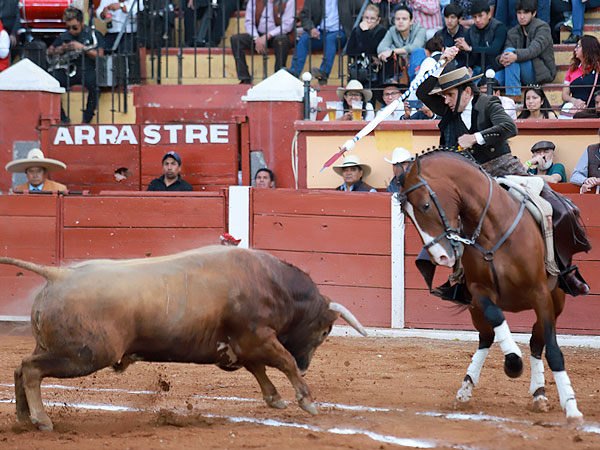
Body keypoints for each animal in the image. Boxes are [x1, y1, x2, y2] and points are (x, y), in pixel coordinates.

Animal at [0, 245, 367, 431]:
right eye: (325, 331)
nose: (307, 367)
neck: (274, 285)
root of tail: (58, 274)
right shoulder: (258, 337)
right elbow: (282, 361)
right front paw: (307, 400)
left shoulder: (244, 344)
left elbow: (259, 369)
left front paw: (275, 399)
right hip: (84, 354)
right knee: (31, 370)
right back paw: (42, 420)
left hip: (60, 349)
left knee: (21, 368)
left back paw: (23, 419)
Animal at [398, 149, 583, 423]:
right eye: (406, 214)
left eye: (426, 205)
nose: (441, 257)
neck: (492, 228)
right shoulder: (479, 292)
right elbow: (497, 319)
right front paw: (513, 363)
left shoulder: (540, 294)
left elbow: (553, 350)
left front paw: (571, 407)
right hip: (475, 309)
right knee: (486, 337)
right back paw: (466, 387)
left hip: (555, 300)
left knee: (536, 341)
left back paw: (539, 394)